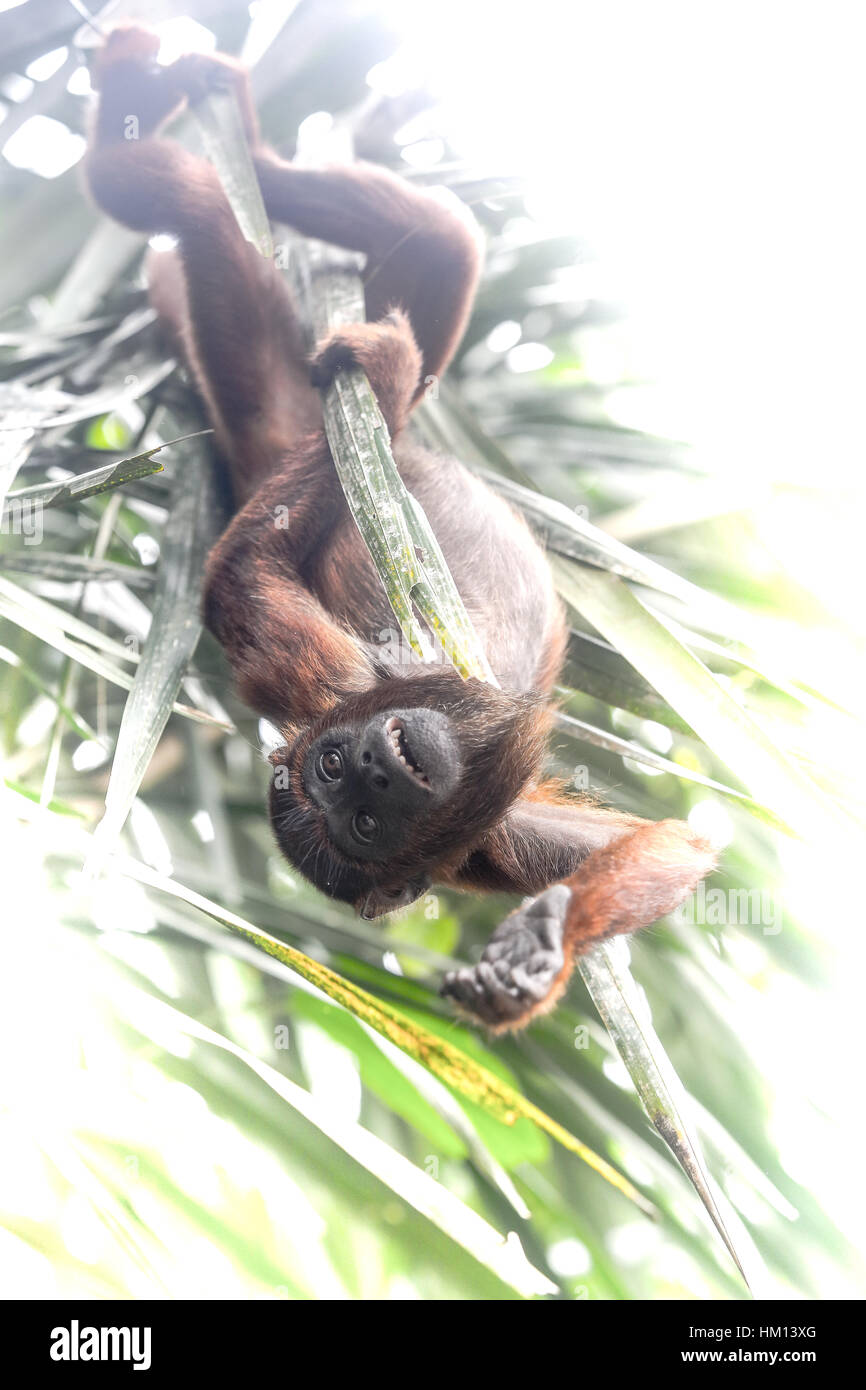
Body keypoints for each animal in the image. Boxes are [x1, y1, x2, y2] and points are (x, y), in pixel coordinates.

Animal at [84, 27, 717, 1034]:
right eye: (353, 807)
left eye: (351, 773)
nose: (381, 765)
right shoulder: (416, 780)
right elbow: (236, 580)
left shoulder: (442, 784)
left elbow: (673, 845)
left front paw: (548, 950)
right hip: (274, 402)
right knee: (195, 212)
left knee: (437, 241)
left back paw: (229, 141)